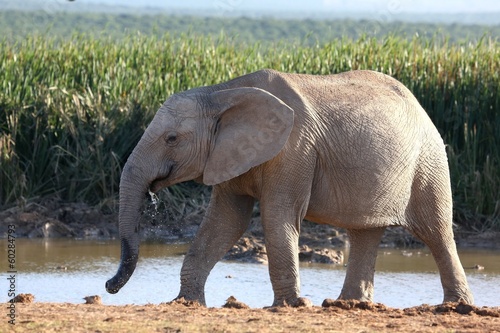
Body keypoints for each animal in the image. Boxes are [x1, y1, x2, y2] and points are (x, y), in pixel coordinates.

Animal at [105, 68, 472, 306]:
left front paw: (292, 305)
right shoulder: (231, 153)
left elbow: (276, 215)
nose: (110, 285)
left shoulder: (295, 149)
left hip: (428, 160)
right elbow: (226, 221)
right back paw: (348, 305)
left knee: (436, 230)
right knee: (364, 231)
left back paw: (457, 307)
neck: (222, 92)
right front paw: (184, 303)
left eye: (171, 139)